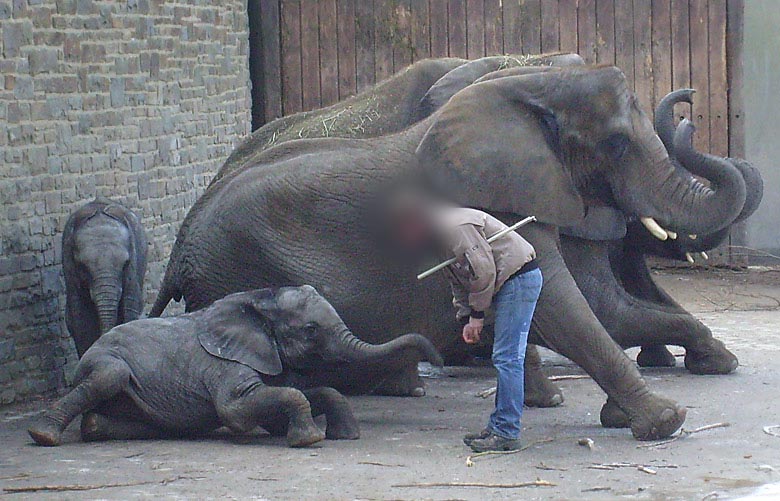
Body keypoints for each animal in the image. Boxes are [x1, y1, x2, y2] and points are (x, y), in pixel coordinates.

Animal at [29, 286, 444, 446]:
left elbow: (304, 394)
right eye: (310, 330)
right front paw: (309, 440)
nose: (439, 359)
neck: (257, 300)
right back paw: (43, 436)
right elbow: (237, 410)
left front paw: (344, 437)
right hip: (104, 361)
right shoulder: (224, 367)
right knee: (110, 376)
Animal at [62, 195, 148, 356]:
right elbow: (80, 317)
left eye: (125, 263)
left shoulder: (134, 263)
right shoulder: (68, 265)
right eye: (83, 266)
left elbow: (131, 305)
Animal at [148, 64, 756, 440]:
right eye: (615, 142)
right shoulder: (493, 195)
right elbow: (569, 304)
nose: (689, 101)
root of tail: (180, 247)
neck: (533, 83)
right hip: (233, 269)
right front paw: (668, 419)